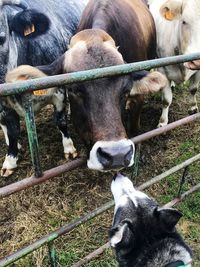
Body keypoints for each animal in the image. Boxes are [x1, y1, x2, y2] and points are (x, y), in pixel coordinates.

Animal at [0, 0, 87, 178]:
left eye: (1, 39)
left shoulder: (58, 87)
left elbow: (60, 120)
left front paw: (69, 149)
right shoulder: (4, 104)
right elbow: (11, 131)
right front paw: (10, 160)